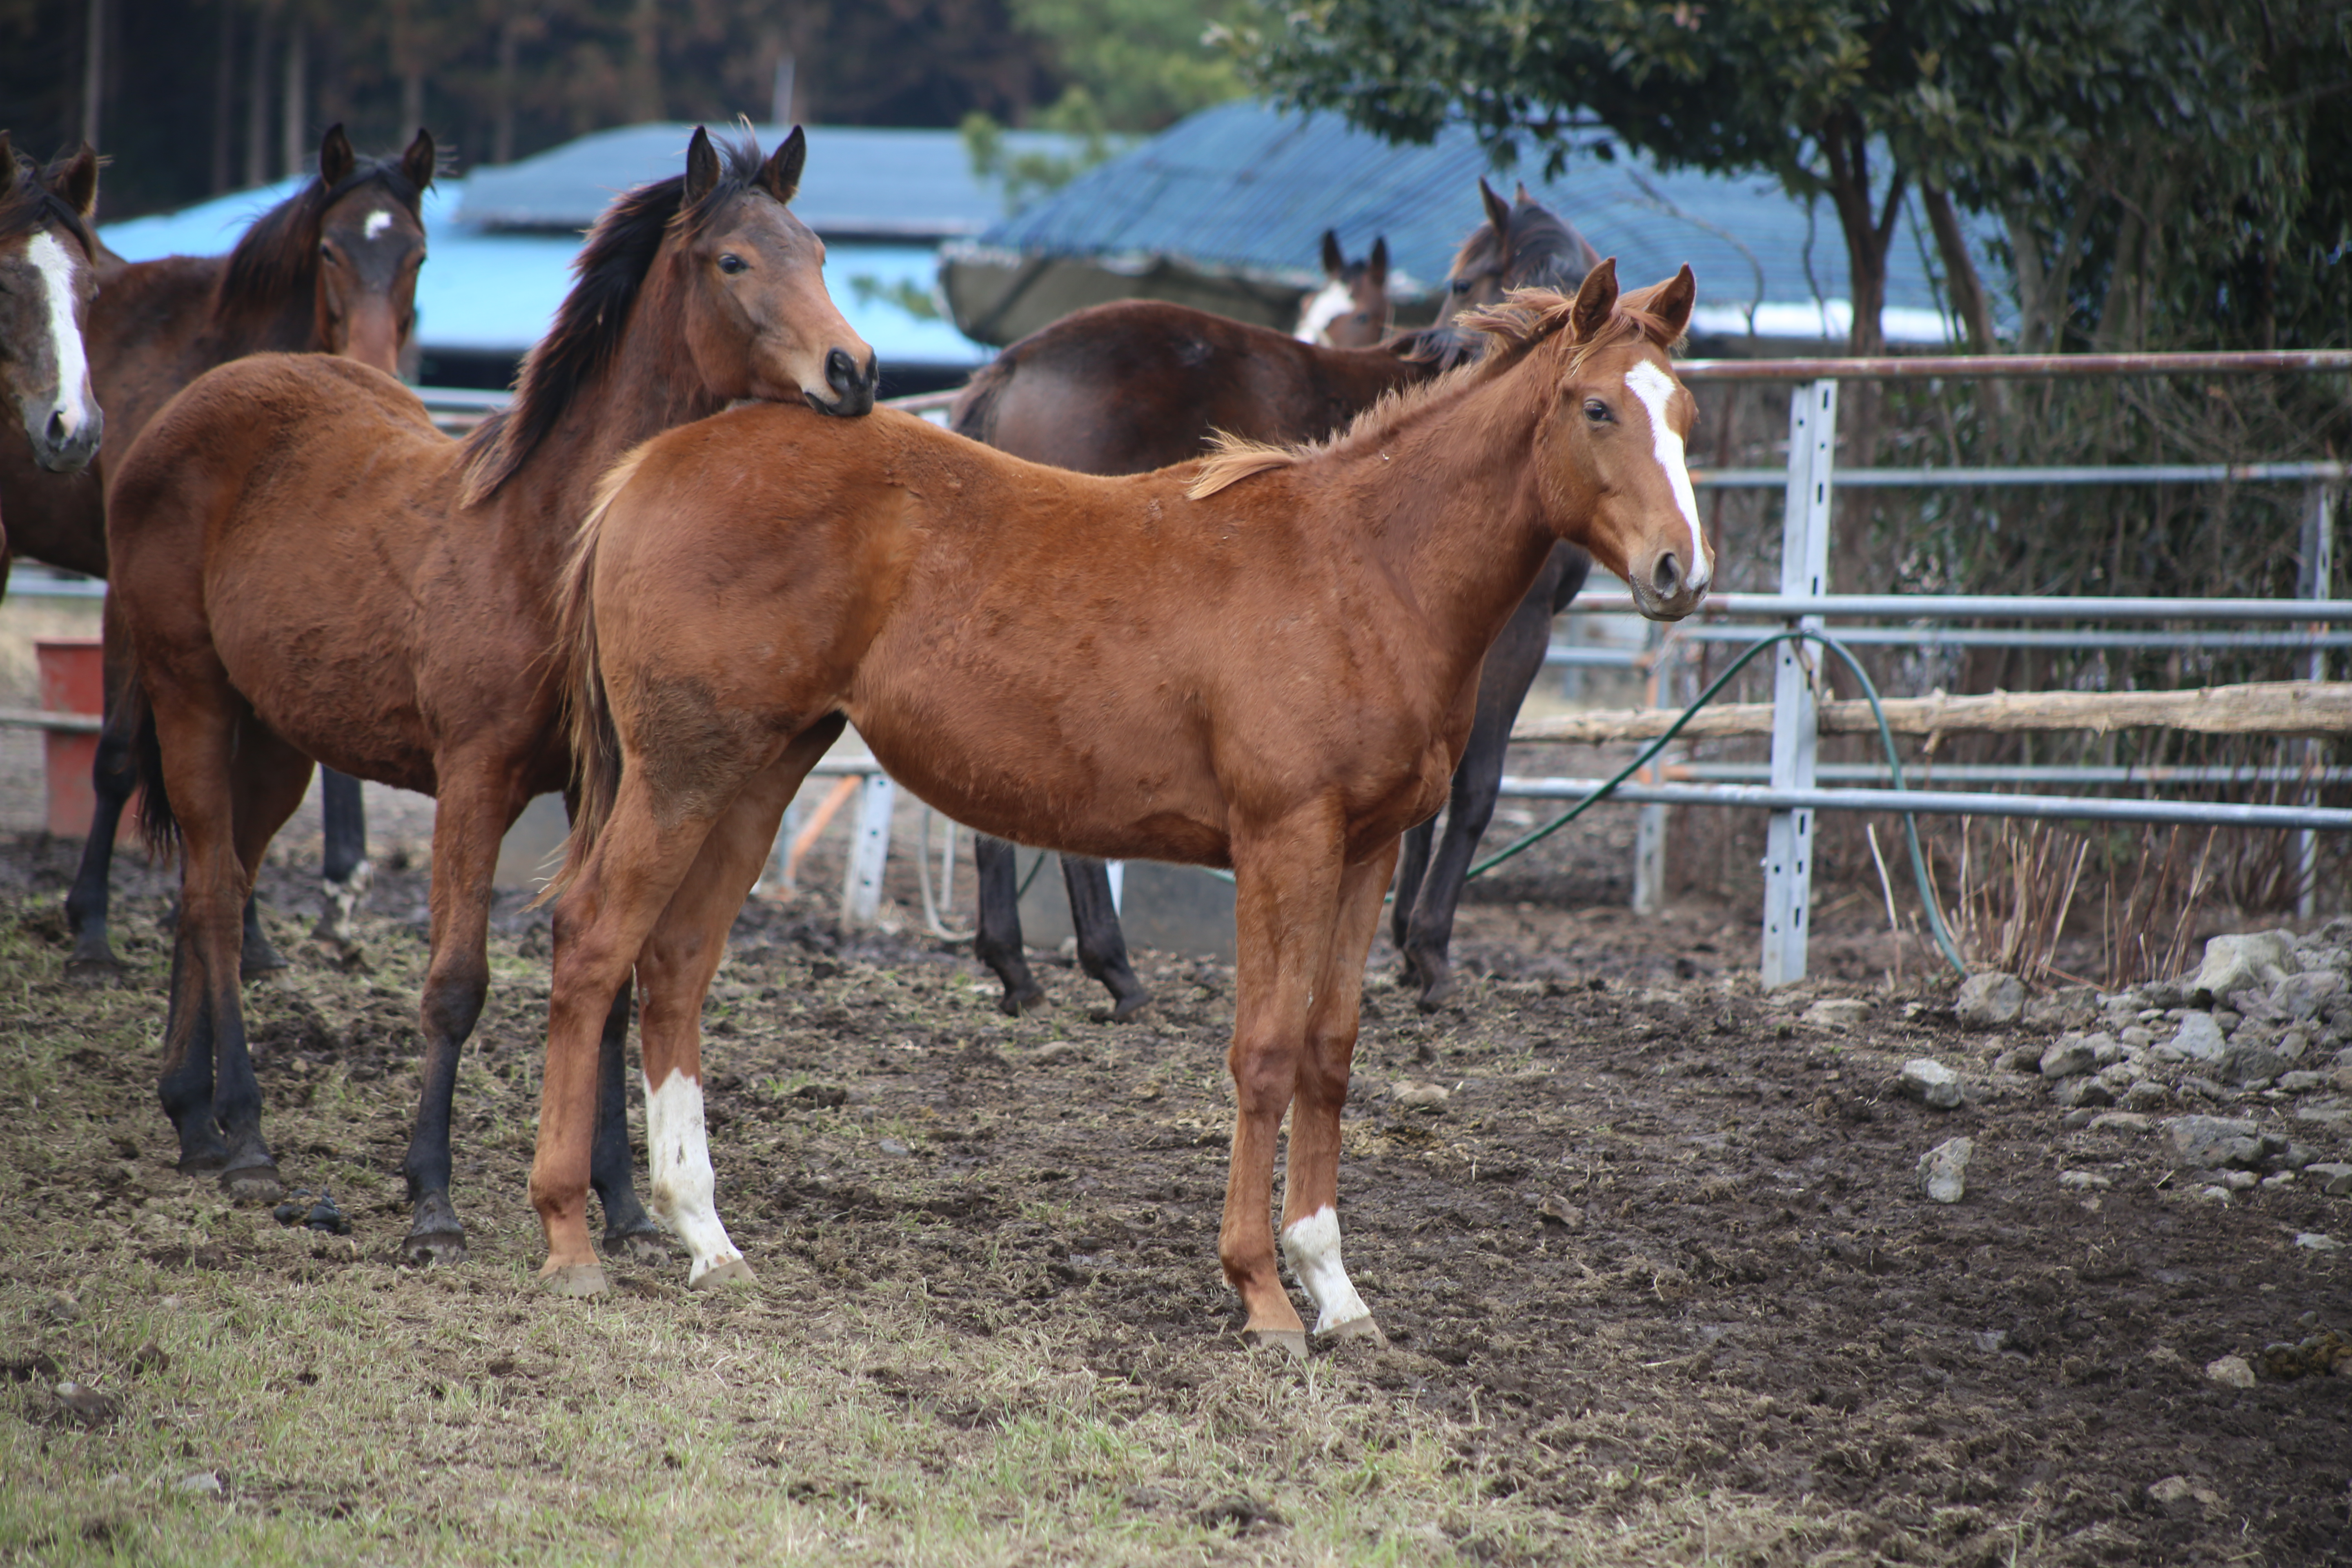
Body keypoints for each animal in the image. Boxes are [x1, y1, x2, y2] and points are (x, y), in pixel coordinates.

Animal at [0, 126, 442, 982]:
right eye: (331, 250)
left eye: (418, 255)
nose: (374, 365)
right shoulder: (128, 595)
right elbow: (115, 759)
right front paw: (92, 929)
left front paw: (258, 940)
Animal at [108, 126, 875, 1278]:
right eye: (734, 262)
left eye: (822, 253)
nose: (853, 371)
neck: (545, 538)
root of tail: (180, 415)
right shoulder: (475, 780)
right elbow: (456, 983)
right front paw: (433, 1199)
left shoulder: (600, 786)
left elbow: (607, 987)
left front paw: (623, 1205)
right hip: (190, 692)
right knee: (211, 898)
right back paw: (243, 1138)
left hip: (275, 740)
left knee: (216, 880)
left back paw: (190, 1114)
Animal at [536, 261, 1712, 1363]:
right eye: (1597, 408)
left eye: (1687, 413)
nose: (1681, 573)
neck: (1365, 570)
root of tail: (646, 469)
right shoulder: (1284, 841)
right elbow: (1266, 1053)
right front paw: (1264, 1294)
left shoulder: (1368, 852)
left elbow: (1330, 1053)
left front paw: (1338, 1292)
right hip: (684, 771)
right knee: (595, 941)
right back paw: (570, 1236)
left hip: (762, 768)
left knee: (676, 964)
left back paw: (708, 1239)